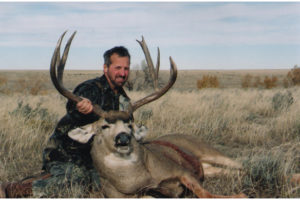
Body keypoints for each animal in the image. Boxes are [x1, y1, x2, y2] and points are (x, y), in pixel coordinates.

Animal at [49, 30, 246, 198]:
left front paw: (240, 195)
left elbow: (205, 193)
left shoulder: (182, 171)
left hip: (211, 152)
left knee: (241, 166)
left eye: (130, 124)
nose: (123, 138)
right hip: (211, 167)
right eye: (104, 126)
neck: (135, 180)